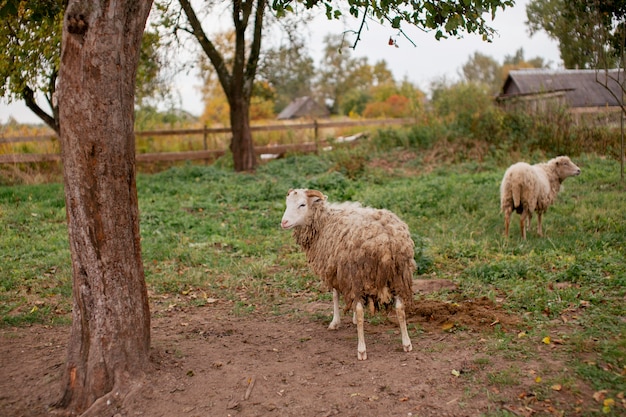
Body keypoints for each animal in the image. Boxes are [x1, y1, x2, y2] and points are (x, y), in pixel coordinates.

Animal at [280, 187, 414, 360]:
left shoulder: (334, 268)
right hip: (398, 275)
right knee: (400, 308)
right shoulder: (340, 271)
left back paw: (361, 350)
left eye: (302, 204)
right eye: (287, 203)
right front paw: (350, 319)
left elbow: (335, 295)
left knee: (361, 310)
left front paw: (335, 322)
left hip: (358, 274)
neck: (324, 221)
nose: (284, 222)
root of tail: (386, 240)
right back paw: (406, 343)